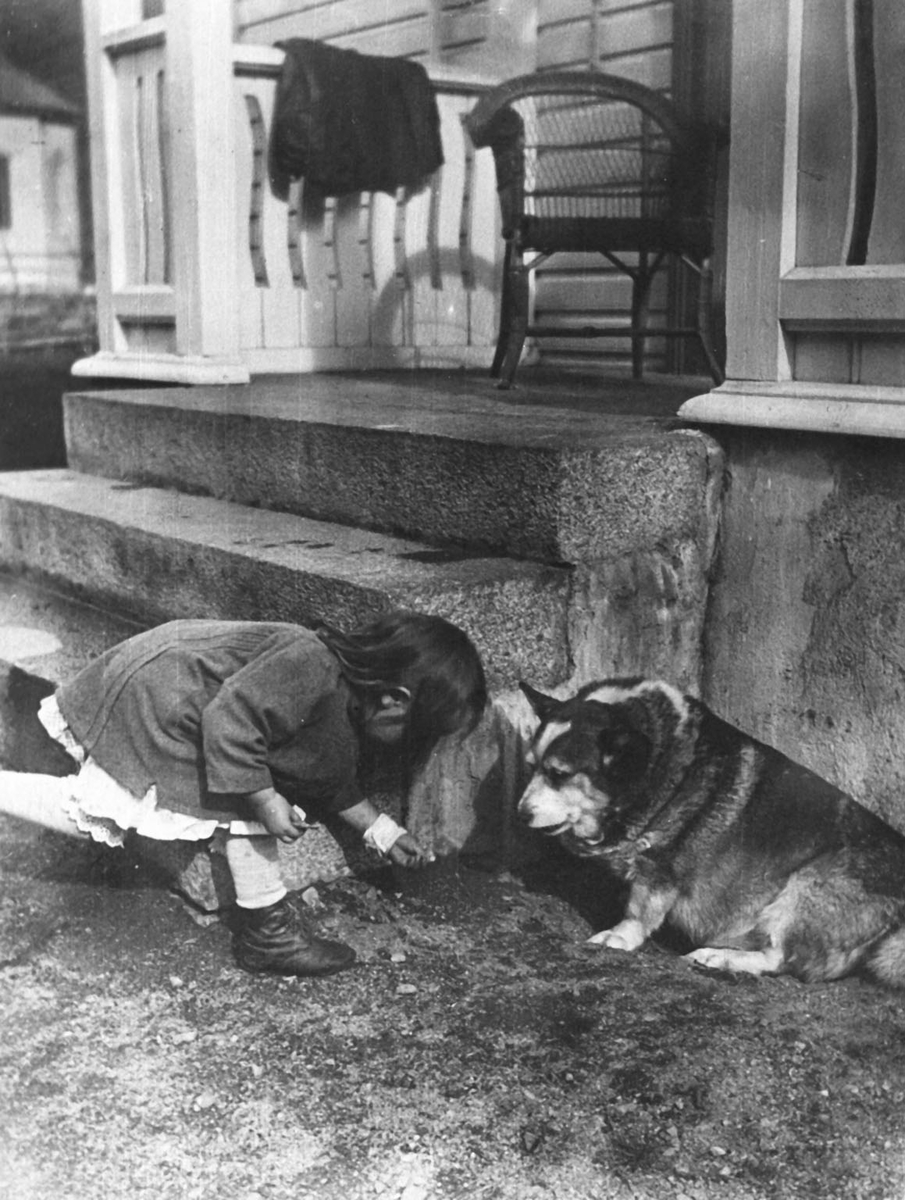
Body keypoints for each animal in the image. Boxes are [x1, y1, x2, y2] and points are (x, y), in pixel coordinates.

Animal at [518, 676, 905, 984]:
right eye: (532, 766)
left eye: (558, 774)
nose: (520, 814)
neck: (655, 764)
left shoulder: (658, 870)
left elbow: (638, 912)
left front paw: (617, 938)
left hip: (804, 890)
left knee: (779, 958)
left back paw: (719, 957)